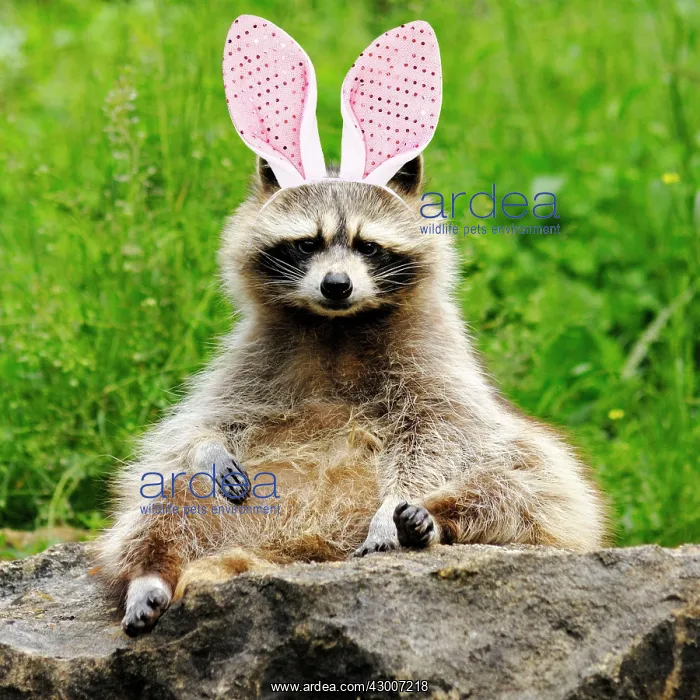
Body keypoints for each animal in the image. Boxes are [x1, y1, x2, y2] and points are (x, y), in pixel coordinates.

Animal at [94, 155, 607, 636]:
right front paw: (210, 449)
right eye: (308, 243)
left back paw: (431, 520)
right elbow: (198, 425)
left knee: (527, 483)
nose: (336, 285)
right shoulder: (252, 356)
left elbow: (441, 432)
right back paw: (149, 572)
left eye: (368, 246)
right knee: (166, 499)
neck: (336, 327)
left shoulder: (435, 357)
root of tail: (309, 546)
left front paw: (398, 505)